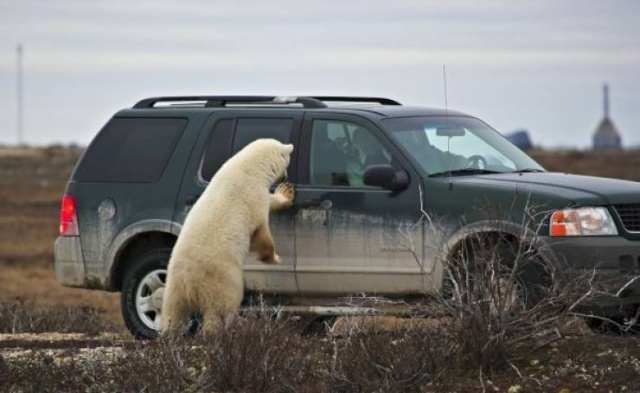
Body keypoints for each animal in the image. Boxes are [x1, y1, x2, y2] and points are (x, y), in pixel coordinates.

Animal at [164, 138, 296, 334]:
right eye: (287, 162)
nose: (285, 178)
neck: (249, 168)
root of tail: (190, 284)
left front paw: (285, 192)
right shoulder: (253, 198)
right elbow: (261, 234)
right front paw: (274, 258)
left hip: (173, 285)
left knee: (173, 313)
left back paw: (169, 334)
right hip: (221, 279)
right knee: (221, 309)